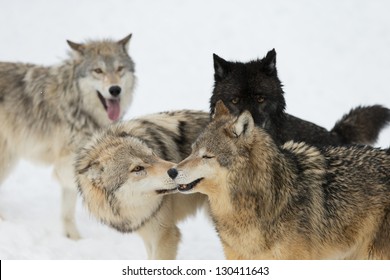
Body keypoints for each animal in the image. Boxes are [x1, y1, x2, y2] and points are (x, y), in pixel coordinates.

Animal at [0, 34, 136, 240]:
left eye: (120, 68)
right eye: (98, 70)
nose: (115, 89)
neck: (76, 105)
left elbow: (68, 207)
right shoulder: (66, 164)